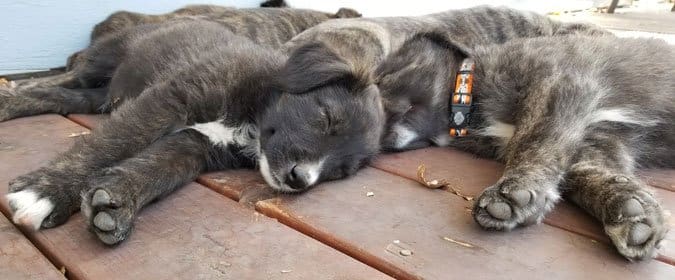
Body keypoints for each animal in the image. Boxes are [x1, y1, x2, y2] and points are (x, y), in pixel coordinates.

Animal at [374, 32, 675, 260]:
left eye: (381, 77)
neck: (468, 99)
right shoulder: (602, 137)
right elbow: (585, 174)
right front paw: (630, 209)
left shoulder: (557, 81)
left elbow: (533, 139)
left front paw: (513, 190)